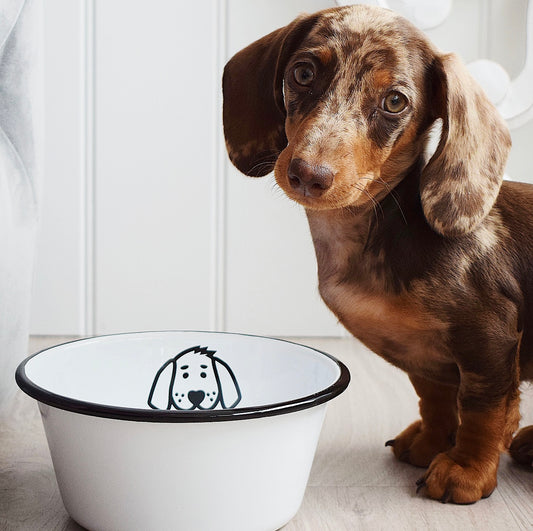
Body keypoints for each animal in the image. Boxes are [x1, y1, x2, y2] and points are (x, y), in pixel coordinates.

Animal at [221, 5, 532, 502]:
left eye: (395, 102)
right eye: (303, 72)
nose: (308, 174)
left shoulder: (491, 335)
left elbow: (482, 410)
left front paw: (465, 468)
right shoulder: (419, 352)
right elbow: (434, 396)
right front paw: (431, 440)